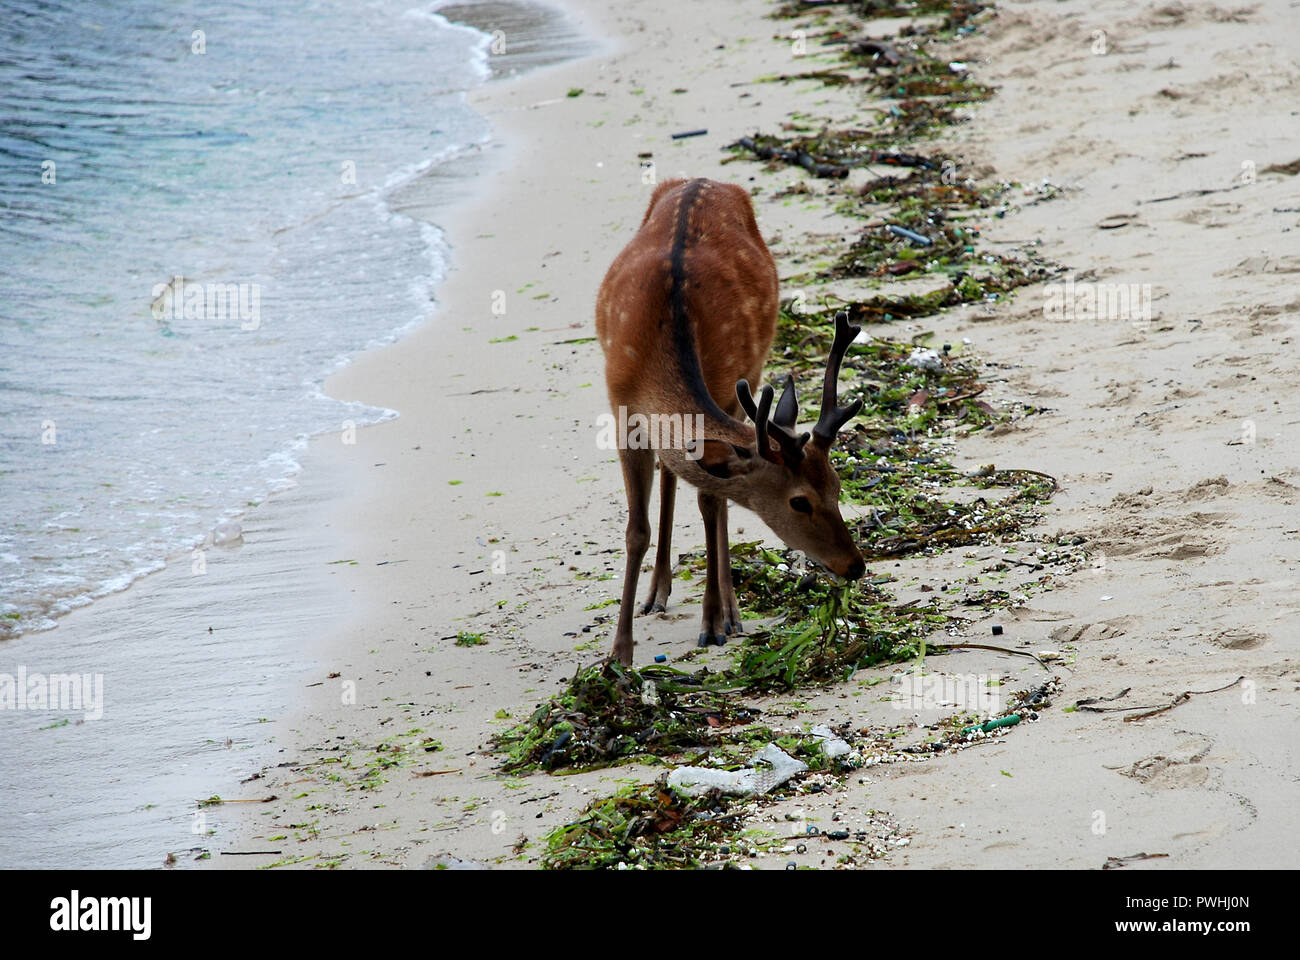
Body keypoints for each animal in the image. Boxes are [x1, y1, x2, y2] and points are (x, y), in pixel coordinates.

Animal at [595, 175, 863, 660]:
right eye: (799, 501)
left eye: (837, 487)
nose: (855, 565)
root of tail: (704, 180)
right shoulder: (621, 409)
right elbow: (636, 530)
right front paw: (619, 655)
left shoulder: (728, 387)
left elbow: (710, 502)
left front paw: (713, 622)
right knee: (671, 473)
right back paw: (657, 592)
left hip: (751, 373)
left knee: (706, 498)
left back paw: (728, 613)